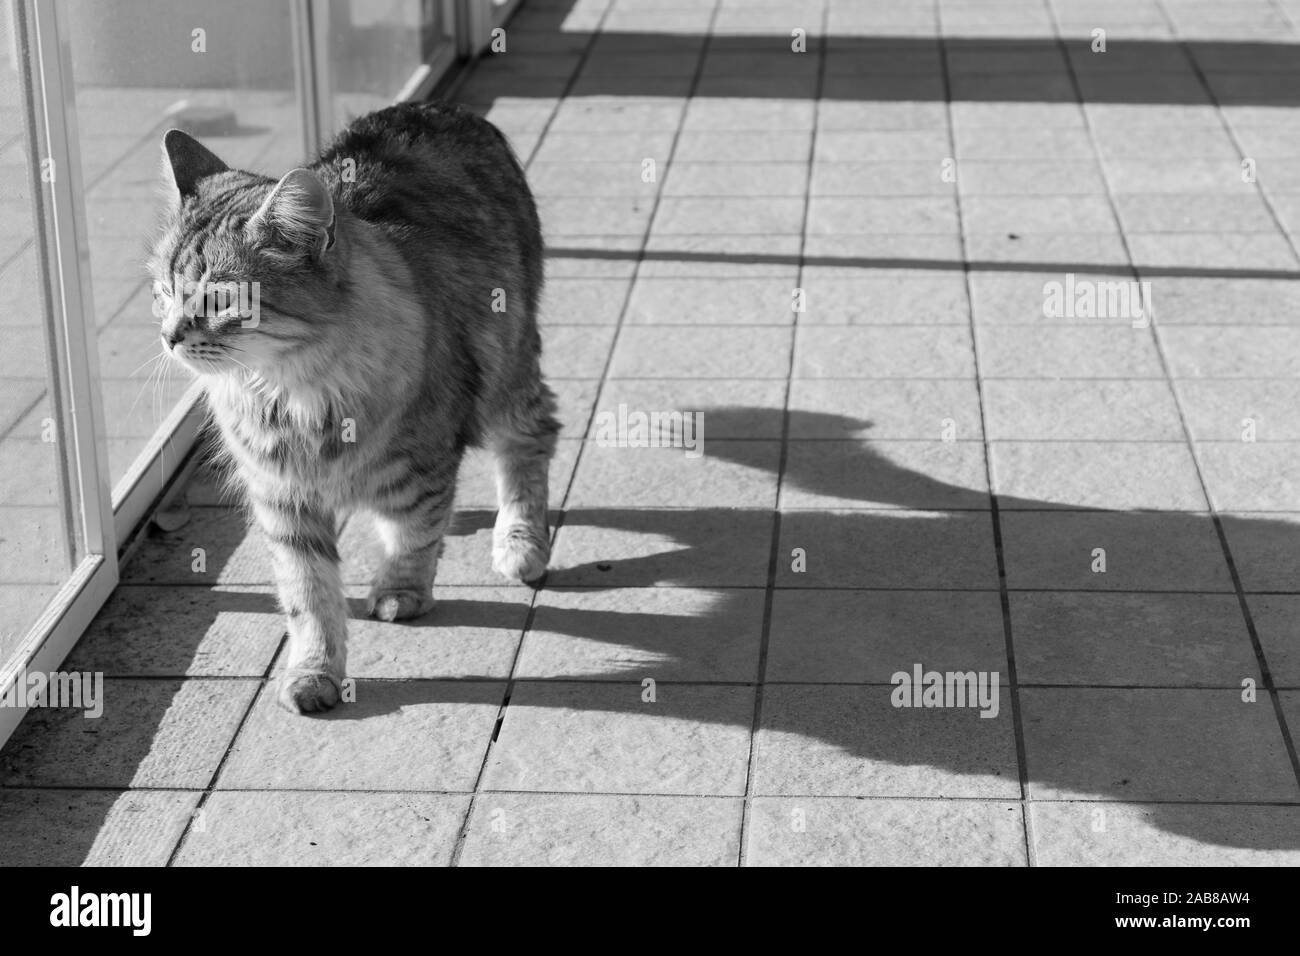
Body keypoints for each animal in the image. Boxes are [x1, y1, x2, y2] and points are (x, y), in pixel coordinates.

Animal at [149, 102, 556, 717]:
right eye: (163, 293)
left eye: (220, 300)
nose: (170, 337)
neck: (290, 393)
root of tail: (437, 108)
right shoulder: (283, 498)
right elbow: (310, 598)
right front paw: (314, 674)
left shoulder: (422, 462)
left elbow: (413, 533)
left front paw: (400, 592)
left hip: (507, 372)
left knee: (532, 438)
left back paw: (520, 541)